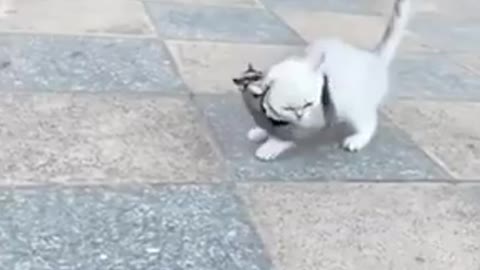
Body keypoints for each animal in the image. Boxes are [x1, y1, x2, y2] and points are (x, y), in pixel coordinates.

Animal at [260, 0, 410, 157]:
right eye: (287, 108)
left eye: (309, 104)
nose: (300, 116)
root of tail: (374, 57)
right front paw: (261, 131)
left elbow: (287, 135)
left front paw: (271, 146)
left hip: (356, 106)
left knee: (369, 123)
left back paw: (357, 139)